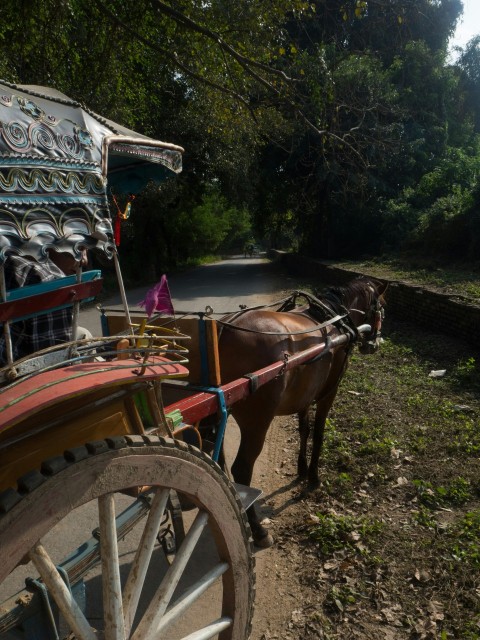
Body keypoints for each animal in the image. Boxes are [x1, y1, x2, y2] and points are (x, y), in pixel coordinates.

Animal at [219, 278, 388, 548]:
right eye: (381, 307)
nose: (374, 344)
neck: (335, 319)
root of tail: (226, 330)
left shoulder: (305, 394)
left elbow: (304, 430)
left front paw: (301, 469)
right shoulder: (329, 391)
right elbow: (318, 433)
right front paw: (313, 477)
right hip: (256, 421)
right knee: (242, 469)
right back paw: (258, 530)